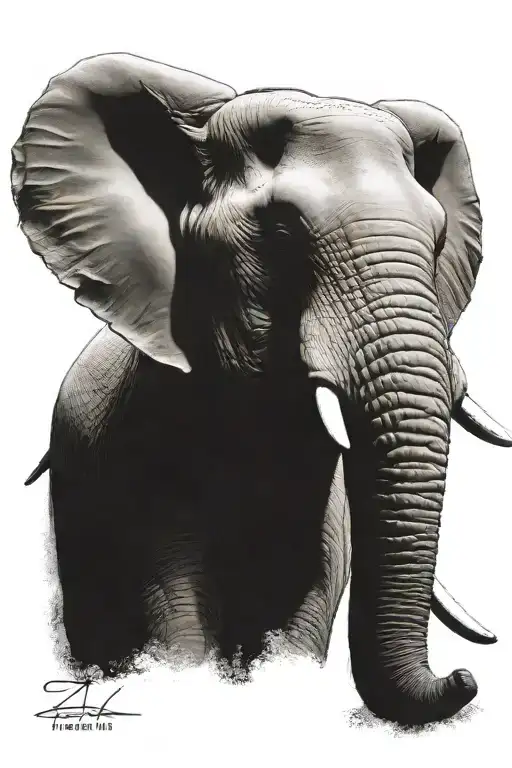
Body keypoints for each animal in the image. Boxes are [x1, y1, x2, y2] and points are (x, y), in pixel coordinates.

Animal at [12, 53, 512, 727]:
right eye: (280, 233)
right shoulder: (141, 450)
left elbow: (304, 608)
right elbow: (174, 610)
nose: (463, 677)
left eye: (437, 242)